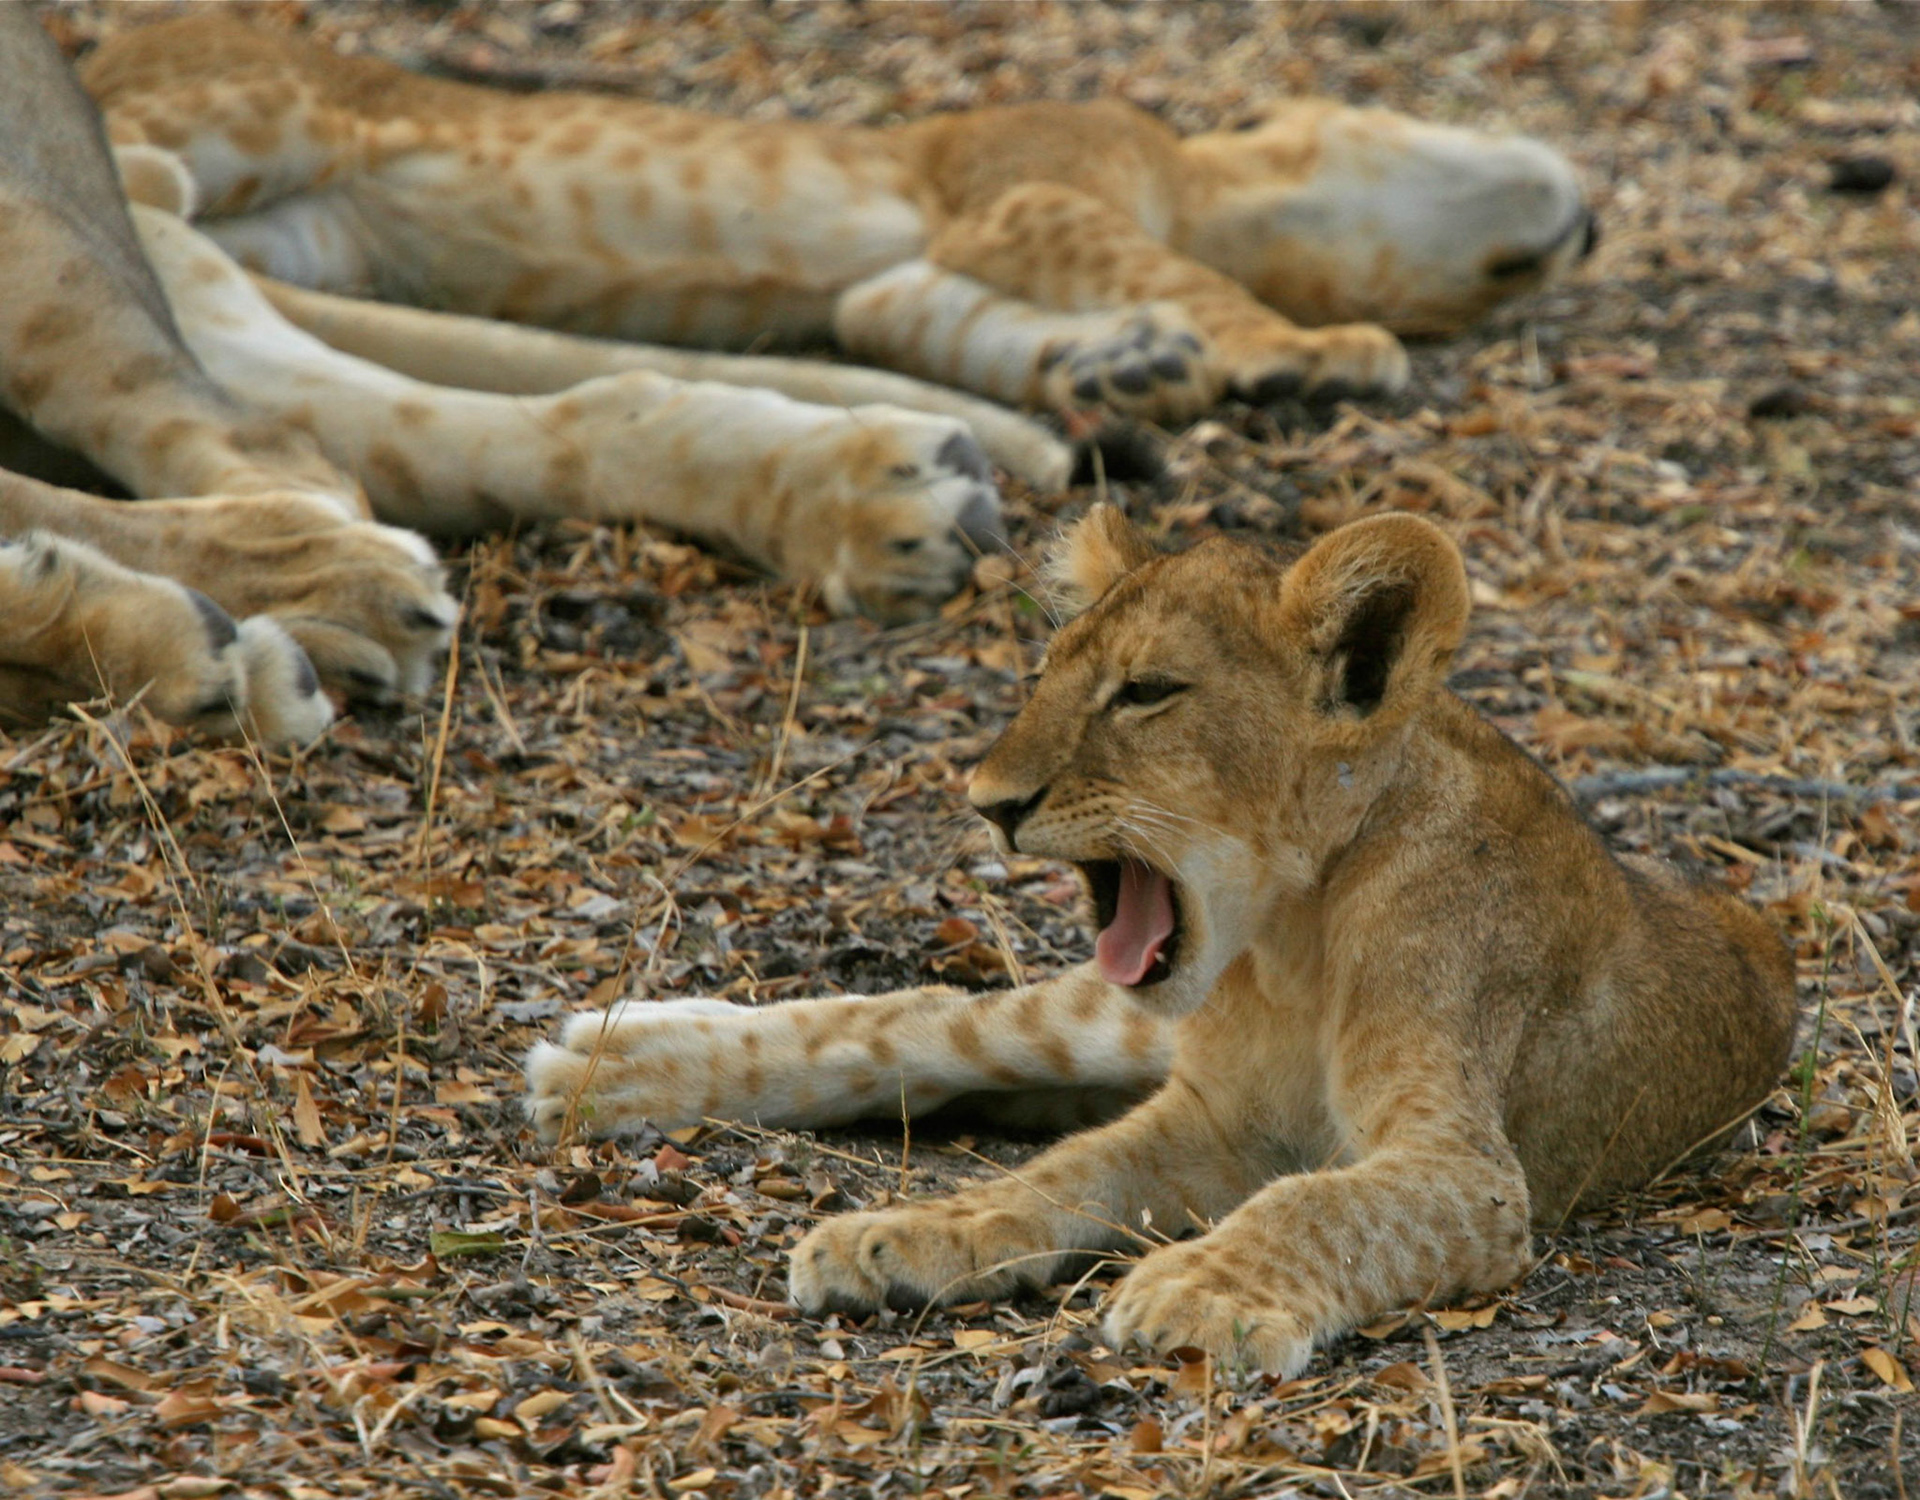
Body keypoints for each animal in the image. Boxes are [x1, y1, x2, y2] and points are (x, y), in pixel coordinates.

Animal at [84, 13, 1595, 425]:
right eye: (1499, 280)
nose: (1590, 223)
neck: (1210, 185)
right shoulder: (1027, 183)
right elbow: (1171, 268)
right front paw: (1309, 353)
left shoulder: (908, 279)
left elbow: (938, 324)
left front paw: (1125, 369)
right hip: (265, 103)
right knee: (123, 140)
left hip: (303, 227)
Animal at [526, 507, 1797, 1374]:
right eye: (1043, 676)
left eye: (1145, 693)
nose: (990, 802)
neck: (1289, 942)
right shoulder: (1217, 1119)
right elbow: (1064, 1172)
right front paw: (913, 1231)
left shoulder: (1465, 1170)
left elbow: (1316, 1203)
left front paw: (1198, 1289)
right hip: (1092, 1017)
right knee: (926, 1019)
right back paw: (610, 1062)